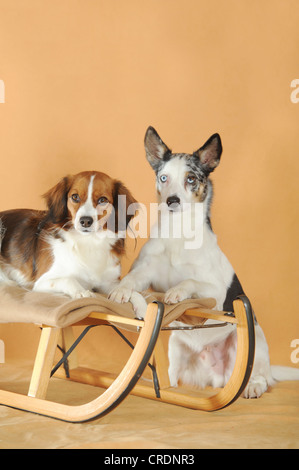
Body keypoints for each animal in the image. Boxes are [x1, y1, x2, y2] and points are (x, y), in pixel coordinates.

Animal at [0, 172, 137, 298]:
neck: (89, 242)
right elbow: (68, 279)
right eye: (75, 197)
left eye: (102, 200)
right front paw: (82, 292)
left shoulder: (108, 282)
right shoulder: (42, 282)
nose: (85, 221)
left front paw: (124, 292)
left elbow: (130, 290)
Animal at [110, 126, 299, 398]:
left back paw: (254, 385)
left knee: (263, 376)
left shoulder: (216, 292)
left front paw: (177, 291)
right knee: (172, 379)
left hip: (256, 343)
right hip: (176, 347)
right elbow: (132, 279)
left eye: (191, 179)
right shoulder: (146, 274)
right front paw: (122, 289)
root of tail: (217, 378)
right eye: (164, 177)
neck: (178, 233)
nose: (172, 200)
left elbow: (190, 280)